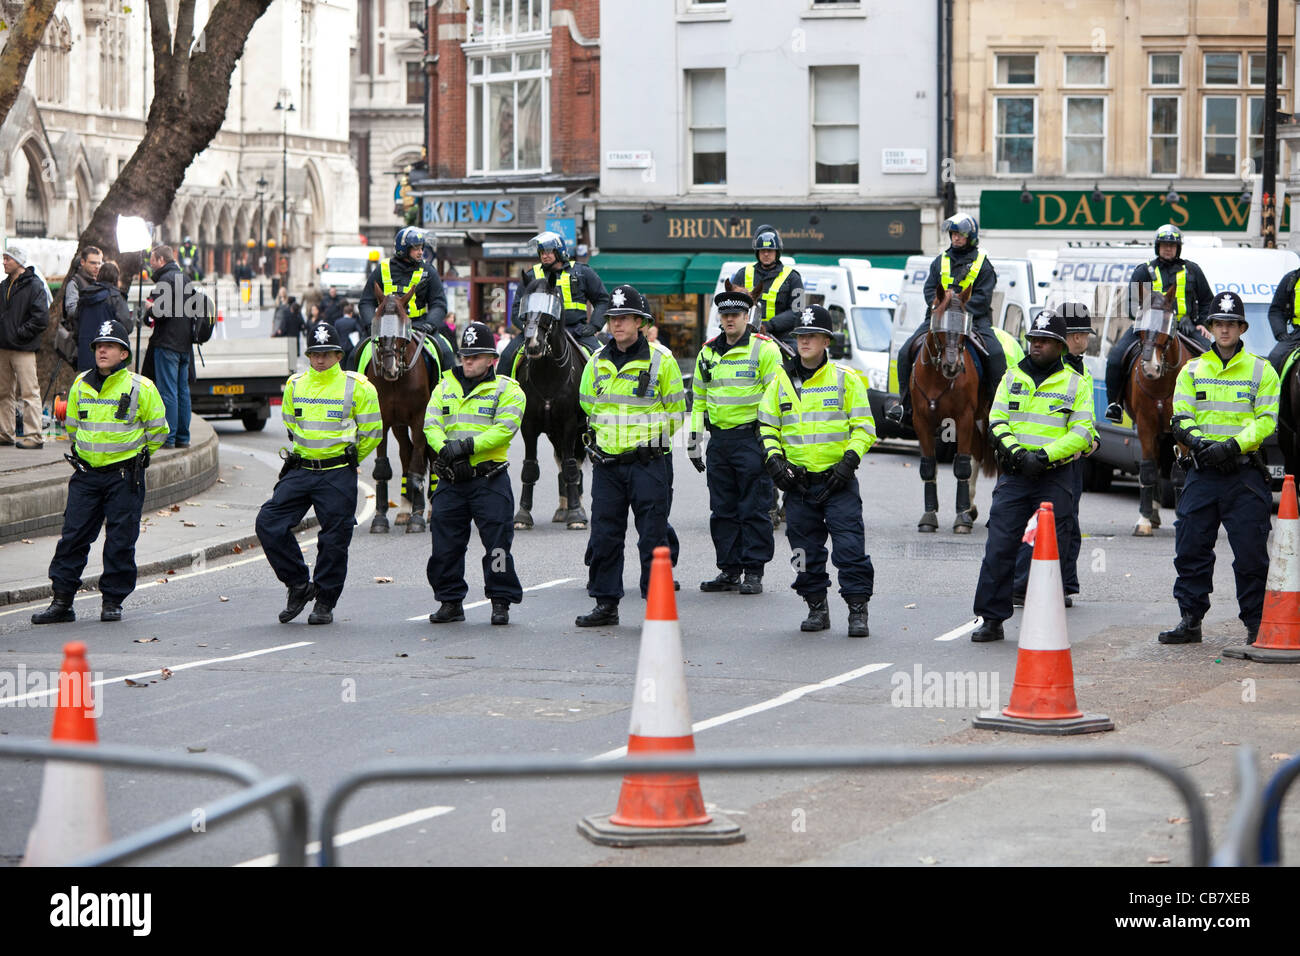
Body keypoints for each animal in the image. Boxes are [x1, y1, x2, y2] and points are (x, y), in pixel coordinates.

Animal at [366, 283, 436, 538]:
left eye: (404, 323)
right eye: (377, 322)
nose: (390, 368)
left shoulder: (420, 419)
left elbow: (418, 465)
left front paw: (417, 518)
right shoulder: (382, 420)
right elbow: (382, 470)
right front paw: (379, 518)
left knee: (427, 456)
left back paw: (427, 510)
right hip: (398, 424)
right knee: (406, 453)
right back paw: (405, 509)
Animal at [512, 280, 590, 535]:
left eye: (552, 306)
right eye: (525, 307)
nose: (533, 344)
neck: (548, 373)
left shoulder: (569, 425)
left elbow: (570, 467)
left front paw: (576, 515)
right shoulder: (529, 426)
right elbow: (529, 468)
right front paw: (523, 515)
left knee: (572, 463)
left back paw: (575, 507)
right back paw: (562, 508)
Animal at [909, 287, 998, 535]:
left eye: (963, 330)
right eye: (940, 327)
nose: (952, 366)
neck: (938, 378)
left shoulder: (964, 418)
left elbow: (962, 467)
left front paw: (962, 518)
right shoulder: (921, 422)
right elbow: (929, 467)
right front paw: (929, 517)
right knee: (977, 453)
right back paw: (971, 508)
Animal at [1123, 287, 1201, 535]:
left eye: (1168, 325)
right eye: (1140, 329)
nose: (1150, 368)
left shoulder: (1181, 428)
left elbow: (1179, 473)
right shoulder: (1145, 425)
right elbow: (1148, 469)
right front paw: (1144, 521)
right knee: (1156, 468)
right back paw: (1153, 514)